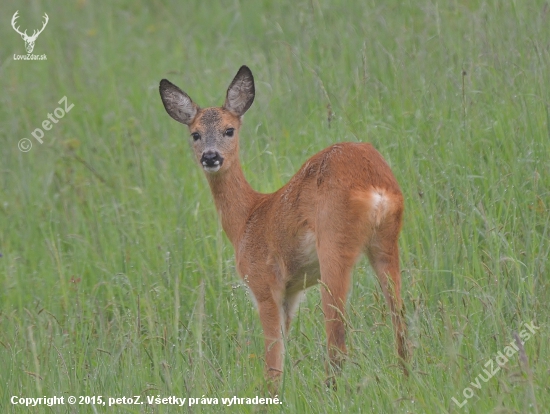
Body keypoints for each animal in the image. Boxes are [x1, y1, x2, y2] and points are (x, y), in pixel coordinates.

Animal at [158, 64, 410, 388]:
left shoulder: (264, 283)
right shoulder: (292, 291)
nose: (211, 157)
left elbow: (273, 361)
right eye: (195, 134)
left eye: (229, 130)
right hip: (387, 241)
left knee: (338, 338)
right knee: (400, 323)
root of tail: (375, 186)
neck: (247, 219)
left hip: (334, 245)